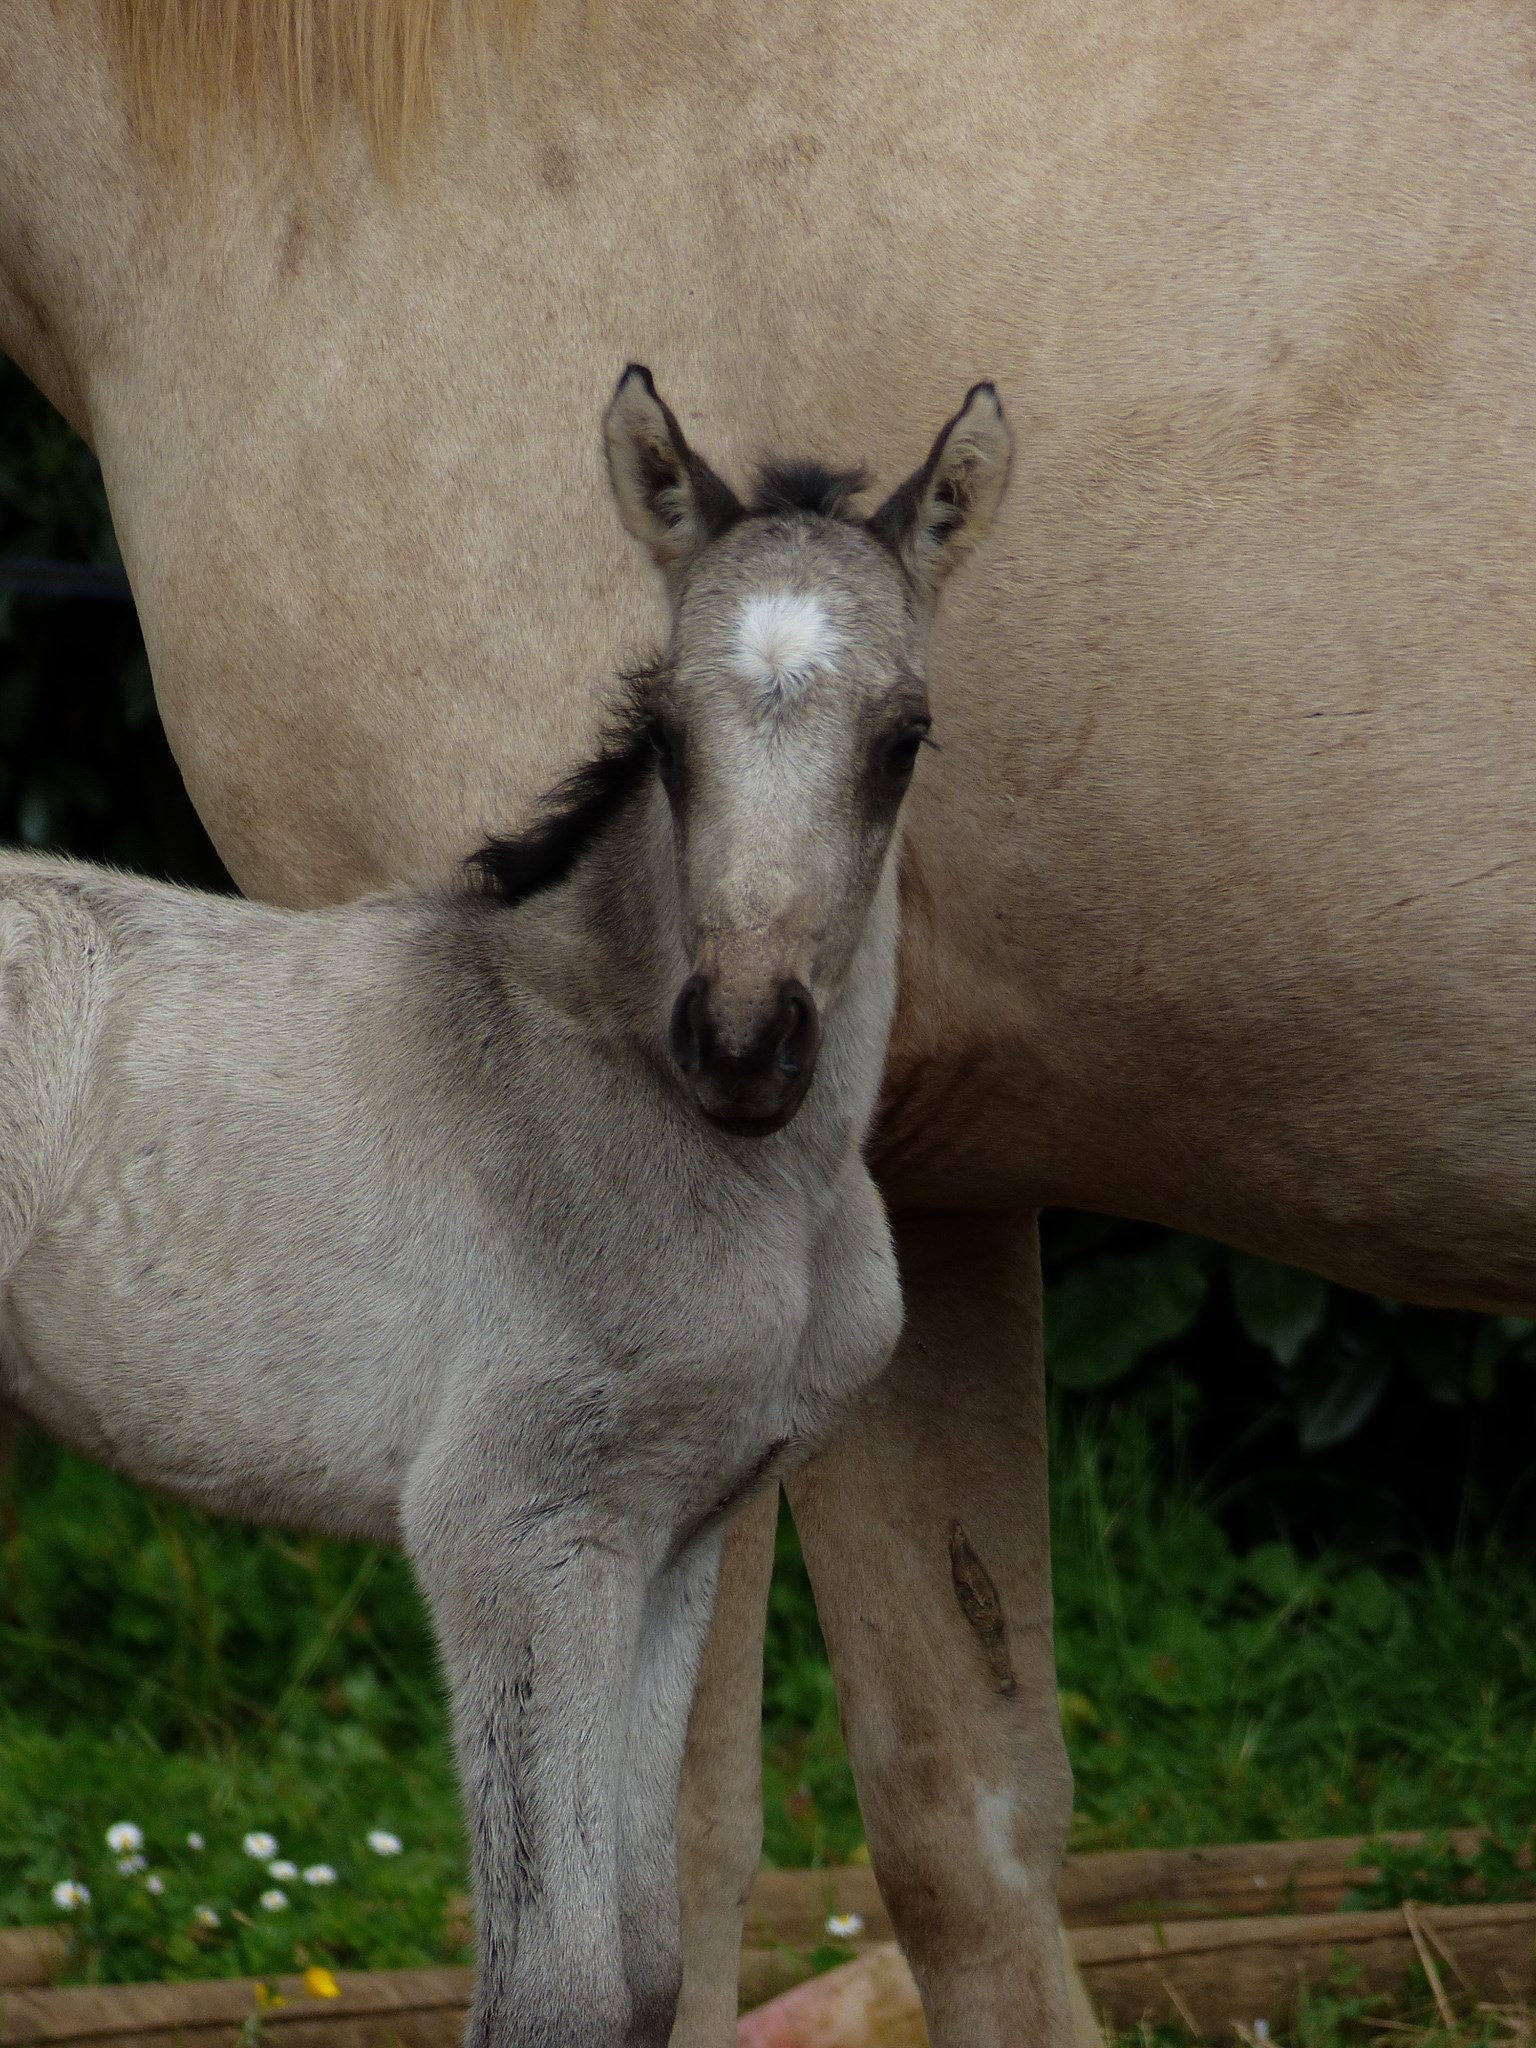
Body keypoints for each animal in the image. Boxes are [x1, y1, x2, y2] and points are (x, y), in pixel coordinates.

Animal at [0, 372, 1015, 2048]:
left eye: (906, 737)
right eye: (664, 729)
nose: (743, 1045)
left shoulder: (671, 1534)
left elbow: (648, 1960)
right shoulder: (515, 1522)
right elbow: (553, 1983)